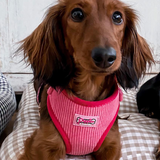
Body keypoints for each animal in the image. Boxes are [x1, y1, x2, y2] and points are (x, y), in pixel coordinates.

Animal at [18, 0, 154, 159]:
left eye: (118, 17)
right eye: (77, 14)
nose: (105, 56)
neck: (89, 89)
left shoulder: (111, 144)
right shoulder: (44, 144)